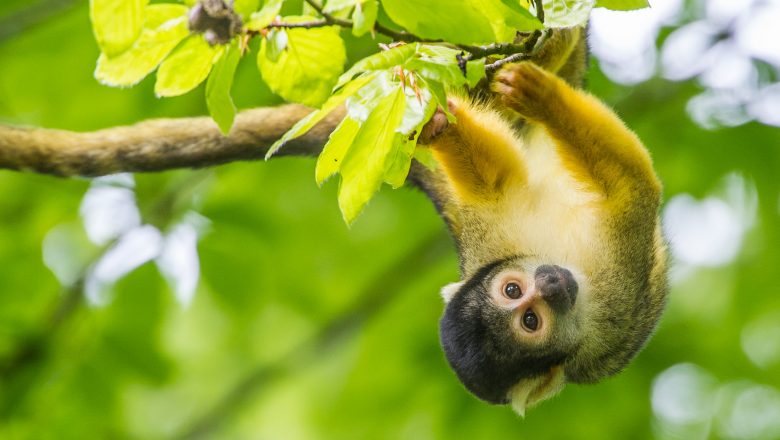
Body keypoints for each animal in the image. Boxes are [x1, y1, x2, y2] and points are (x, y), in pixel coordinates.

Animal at [414, 26, 672, 412]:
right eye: (530, 320)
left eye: (511, 289)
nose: (550, 283)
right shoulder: (617, 297)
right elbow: (632, 185)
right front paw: (548, 101)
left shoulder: (494, 242)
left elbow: (495, 180)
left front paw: (438, 125)